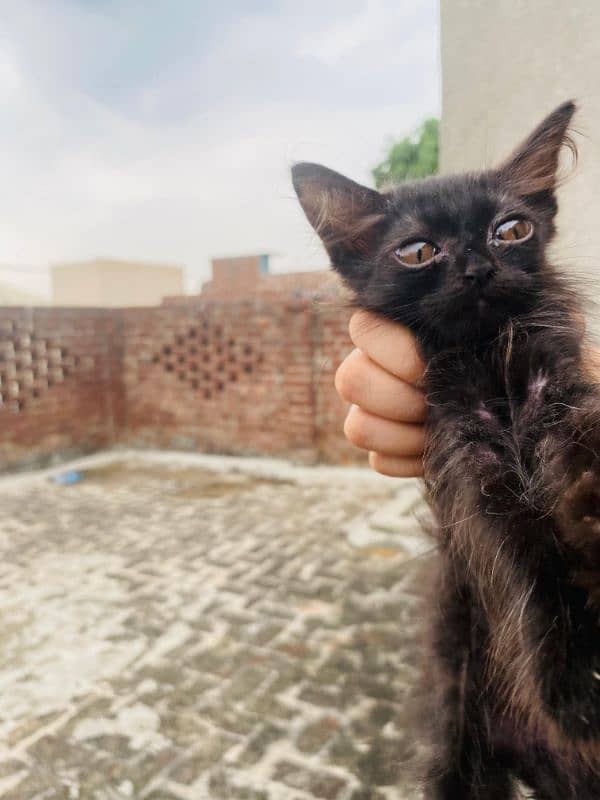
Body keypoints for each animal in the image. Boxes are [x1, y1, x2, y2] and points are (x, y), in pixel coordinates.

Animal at [292, 101, 600, 800]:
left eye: (510, 230)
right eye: (418, 251)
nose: (477, 267)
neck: (491, 368)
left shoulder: (562, 396)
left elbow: (580, 456)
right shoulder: (473, 471)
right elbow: (527, 559)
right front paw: (575, 687)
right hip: (458, 729)